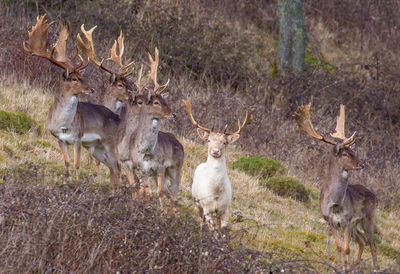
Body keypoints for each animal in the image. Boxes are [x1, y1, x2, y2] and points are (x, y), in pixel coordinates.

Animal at [184, 98, 253, 231]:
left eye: (225, 142)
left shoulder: (225, 209)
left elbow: (223, 230)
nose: (215, 151)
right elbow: (213, 230)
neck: (215, 192)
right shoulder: (207, 208)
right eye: (209, 140)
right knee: (202, 219)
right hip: (197, 202)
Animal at [294, 103, 378, 272]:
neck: (335, 204)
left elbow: (347, 249)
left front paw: (345, 268)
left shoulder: (347, 220)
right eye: (345, 154)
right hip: (357, 225)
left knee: (372, 244)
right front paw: (341, 268)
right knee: (362, 241)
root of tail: (375, 196)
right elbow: (339, 247)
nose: (362, 164)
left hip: (368, 217)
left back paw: (374, 268)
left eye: (353, 151)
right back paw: (354, 267)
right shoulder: (330, 221)